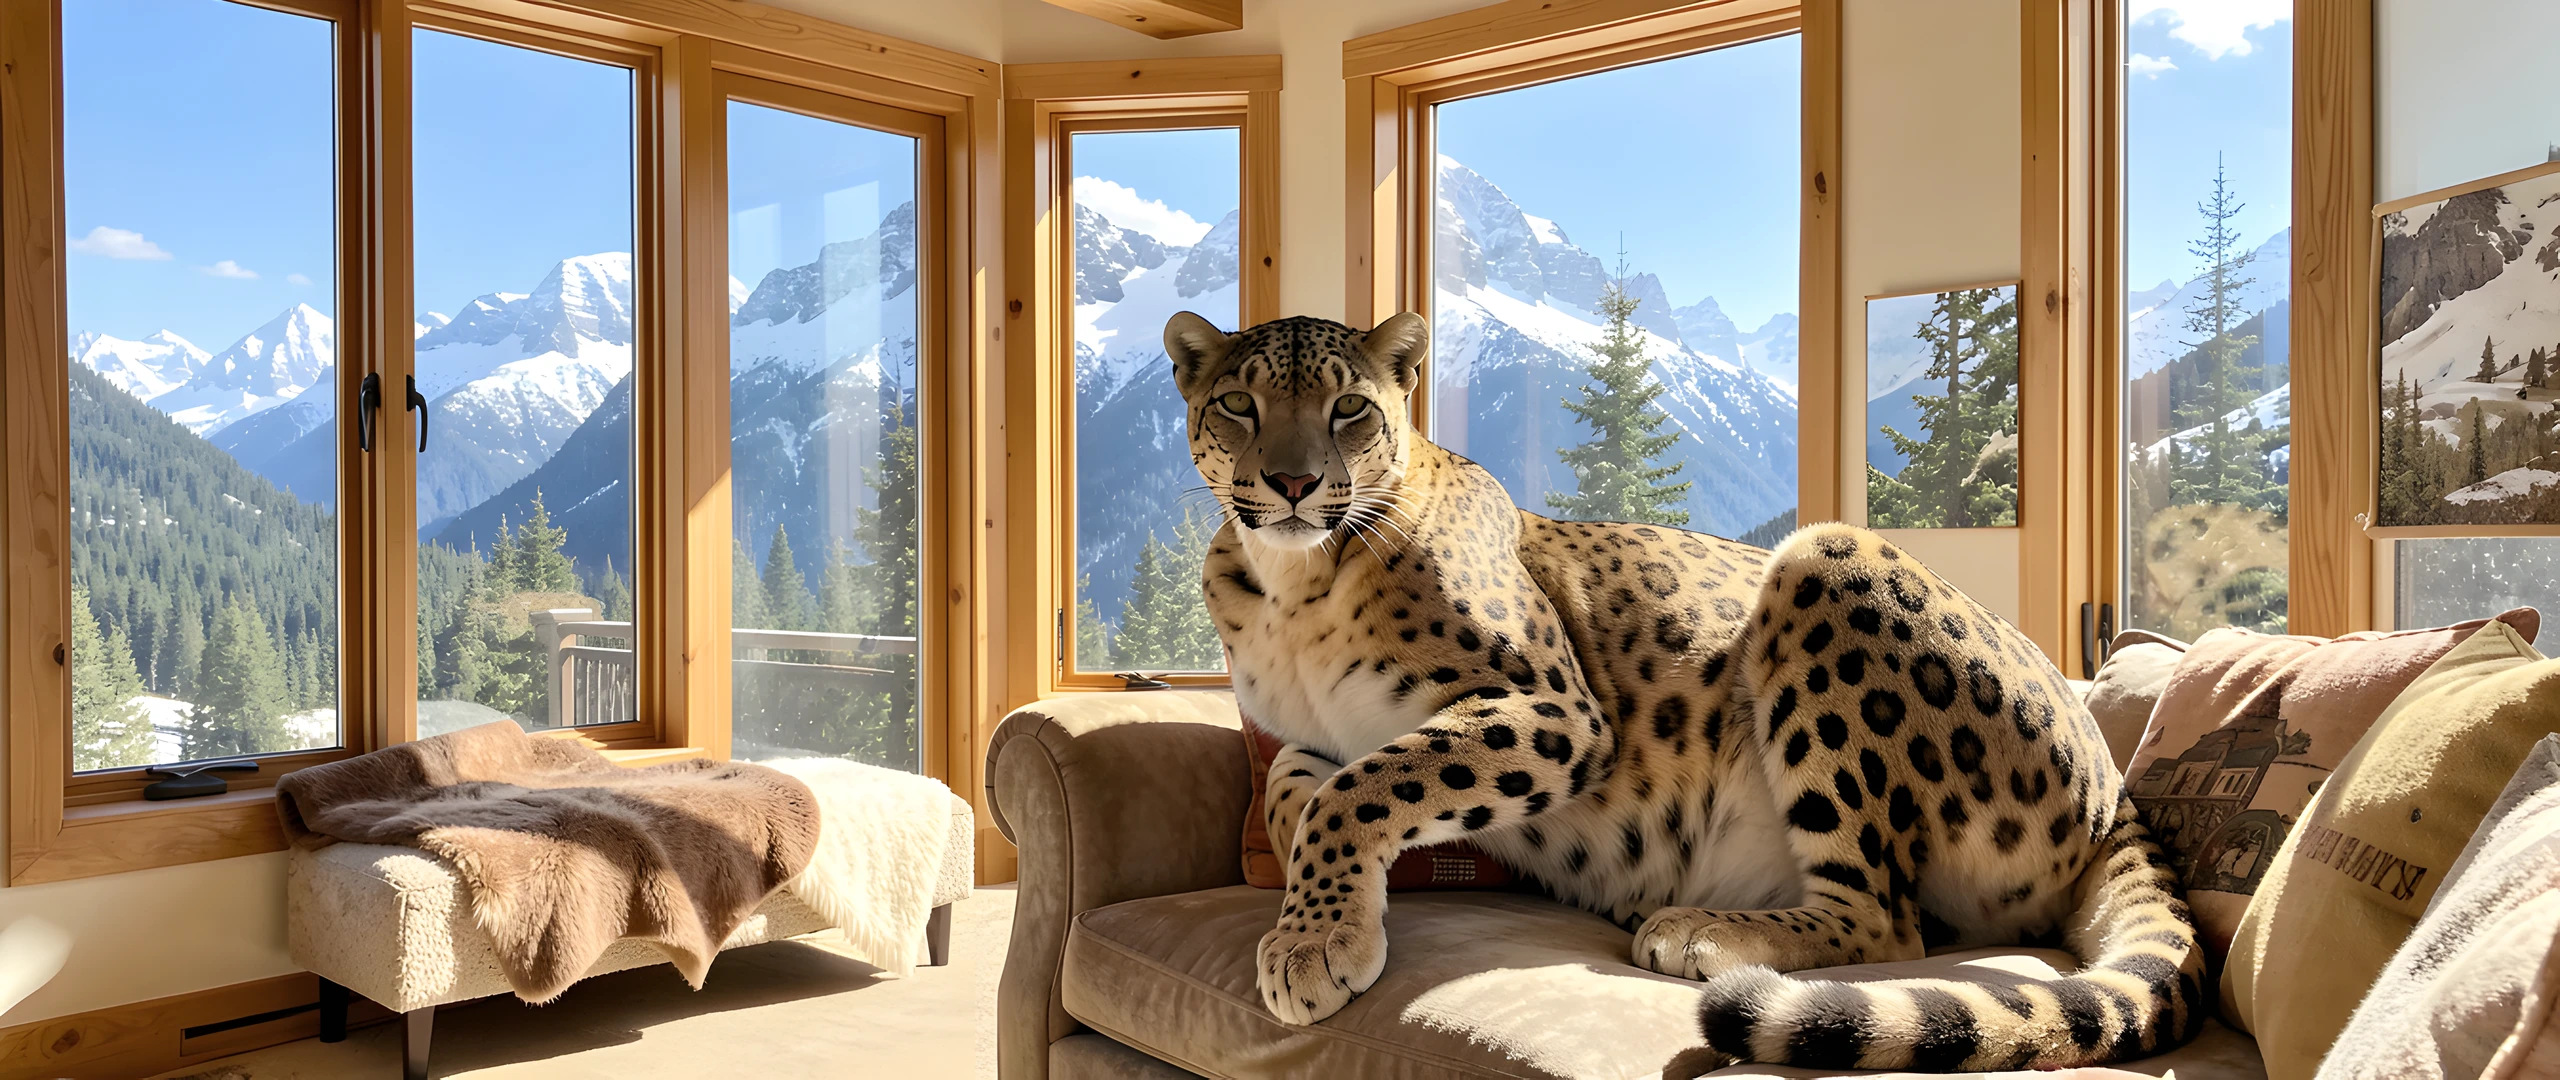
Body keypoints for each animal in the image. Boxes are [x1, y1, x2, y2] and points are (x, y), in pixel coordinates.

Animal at [1162, 308, 2206, 1072]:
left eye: (1350, 409)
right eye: (1239, 405)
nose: (1294, 483)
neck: (1290, 589)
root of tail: (2114, 782)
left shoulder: (1554, 711)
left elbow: (1363, 788)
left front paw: (1314, 942)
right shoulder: (1310, 732)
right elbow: (1302, 785)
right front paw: (1321, 909)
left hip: (1827, 566)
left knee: (1886, 918)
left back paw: (1691, 929)